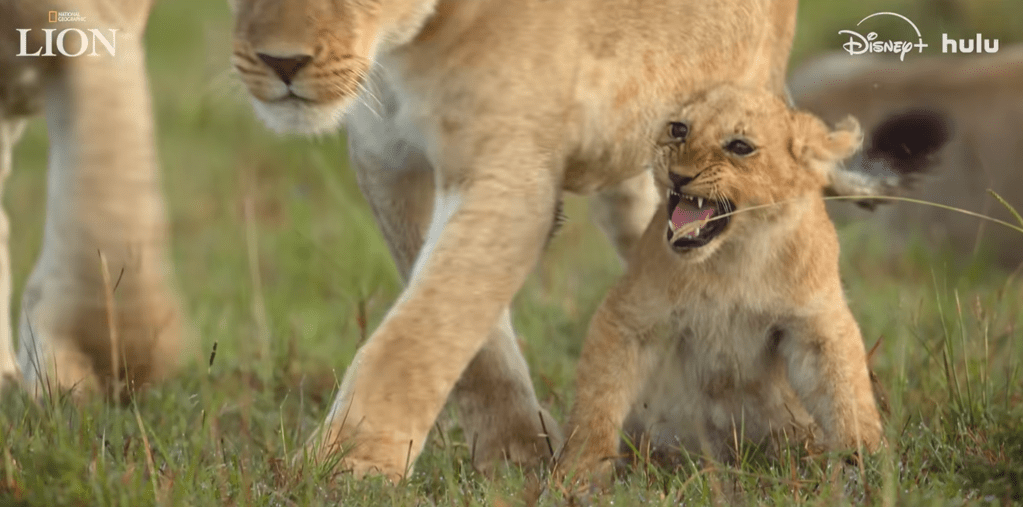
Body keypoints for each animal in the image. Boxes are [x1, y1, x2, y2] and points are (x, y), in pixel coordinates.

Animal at [561, 84, 887, 480]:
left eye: (739, 146)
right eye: (679, 129)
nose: (678, 175)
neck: (732, 258)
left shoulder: (816, 326)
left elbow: (845, 391)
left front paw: (865, 461)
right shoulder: (630, 316)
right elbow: (598, 398)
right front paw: (579, 473)